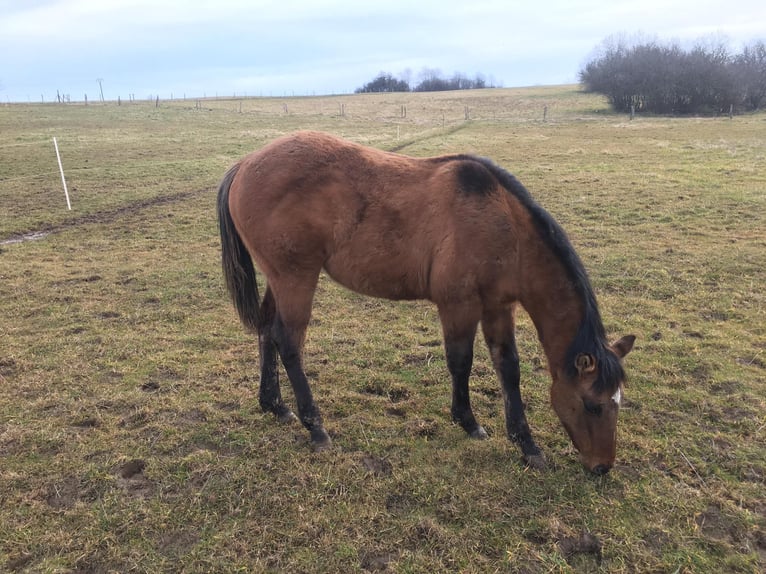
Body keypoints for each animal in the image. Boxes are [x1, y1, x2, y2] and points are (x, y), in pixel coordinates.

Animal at [216, 132, 636, 476]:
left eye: (618, 402)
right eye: (593, 404)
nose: (602, 467)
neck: (502, 222)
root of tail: (245, 165)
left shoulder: (499, 306)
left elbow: (508, 367)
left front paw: (526, 444)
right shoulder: (458, 304)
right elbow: (460, 361)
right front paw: (468, 421)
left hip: (280, 279)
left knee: (267, 332)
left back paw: (274, 405)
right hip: (296, 279)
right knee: (288, 343)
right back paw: (315, 426)